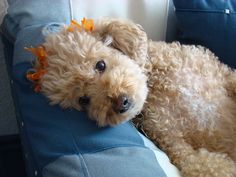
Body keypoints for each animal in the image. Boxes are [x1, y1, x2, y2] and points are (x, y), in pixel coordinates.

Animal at [28, 17, 236, 176]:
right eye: (84, 100)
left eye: (100, 65)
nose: (120, 103)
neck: (157, 81)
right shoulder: (170, 138)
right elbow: (201, 163)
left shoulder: (218, 70)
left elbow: (231, 78)